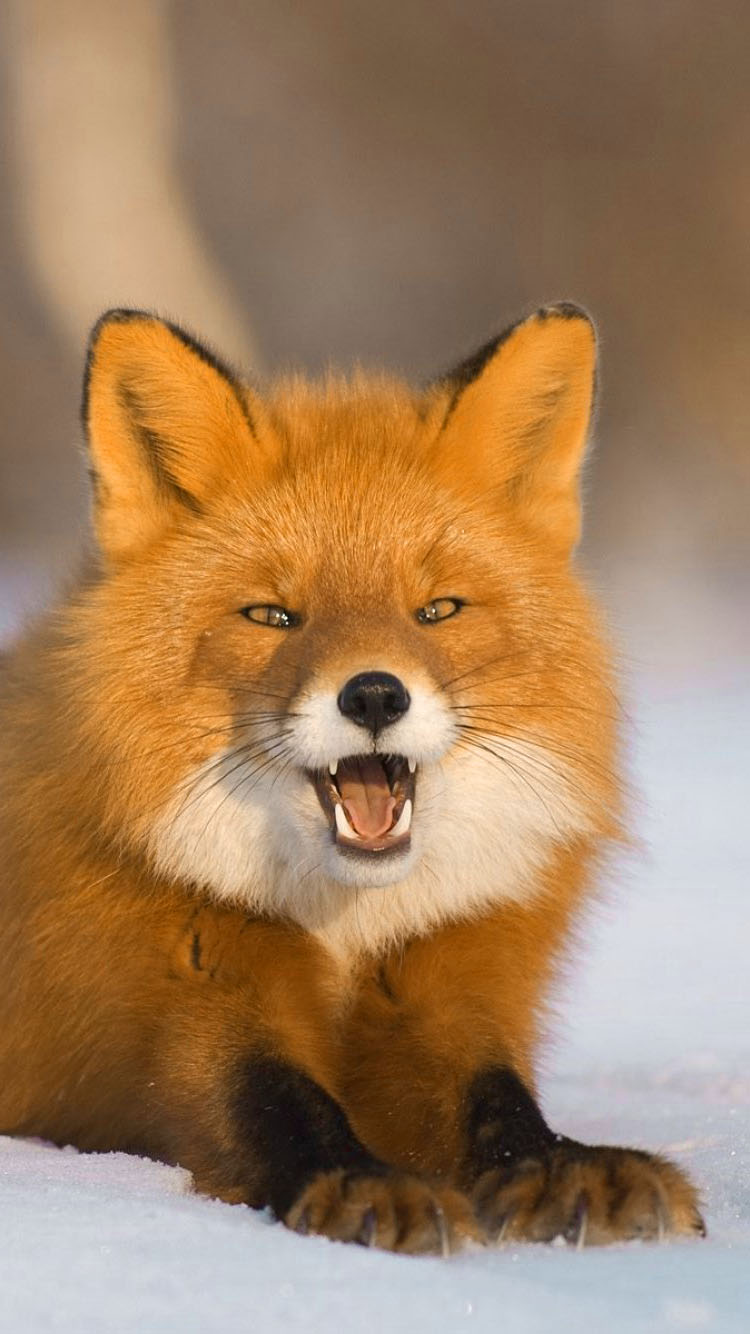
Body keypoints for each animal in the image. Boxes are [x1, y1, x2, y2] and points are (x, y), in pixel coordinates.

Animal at [0, 303, 704, 1254]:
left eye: (437, 609)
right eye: (272, 615)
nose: (374, 693)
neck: (346, 925)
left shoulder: (442, 989)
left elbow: (494, 1098)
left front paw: (562, 1167)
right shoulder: (172, 999)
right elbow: (270, 1099)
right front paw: (359, 1183)